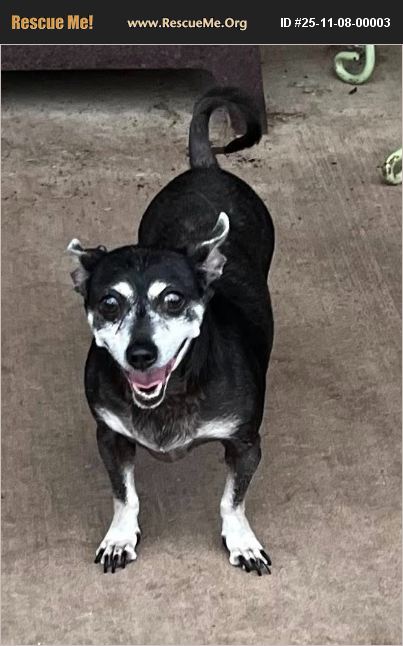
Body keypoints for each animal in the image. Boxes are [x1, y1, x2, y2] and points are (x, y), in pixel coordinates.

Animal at [68, 87, 275, 575]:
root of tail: (206, 167)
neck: (174, 393)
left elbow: (232, 500)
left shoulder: (245, 443)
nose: (140, 354)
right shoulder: (110, 436)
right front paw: (120, 537)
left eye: (173, 300)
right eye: (109, 303)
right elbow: (124, 494)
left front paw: (242, 541)